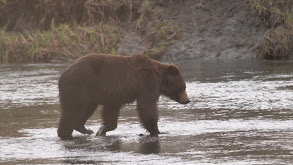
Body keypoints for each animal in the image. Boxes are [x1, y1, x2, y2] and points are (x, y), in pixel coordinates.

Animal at [57, 53, 189, 140]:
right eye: (183, 87)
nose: (187, 100)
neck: (159, 78)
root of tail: (63, 74)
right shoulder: (146, 83)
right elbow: (146, 106)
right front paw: (157, 130)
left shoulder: (113, 95)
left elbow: (111, 111)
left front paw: (103, 129)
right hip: (79, 86)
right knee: (73, 109)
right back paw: (65, 134)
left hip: (90, 93)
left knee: (85, 110)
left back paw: (85, 129)